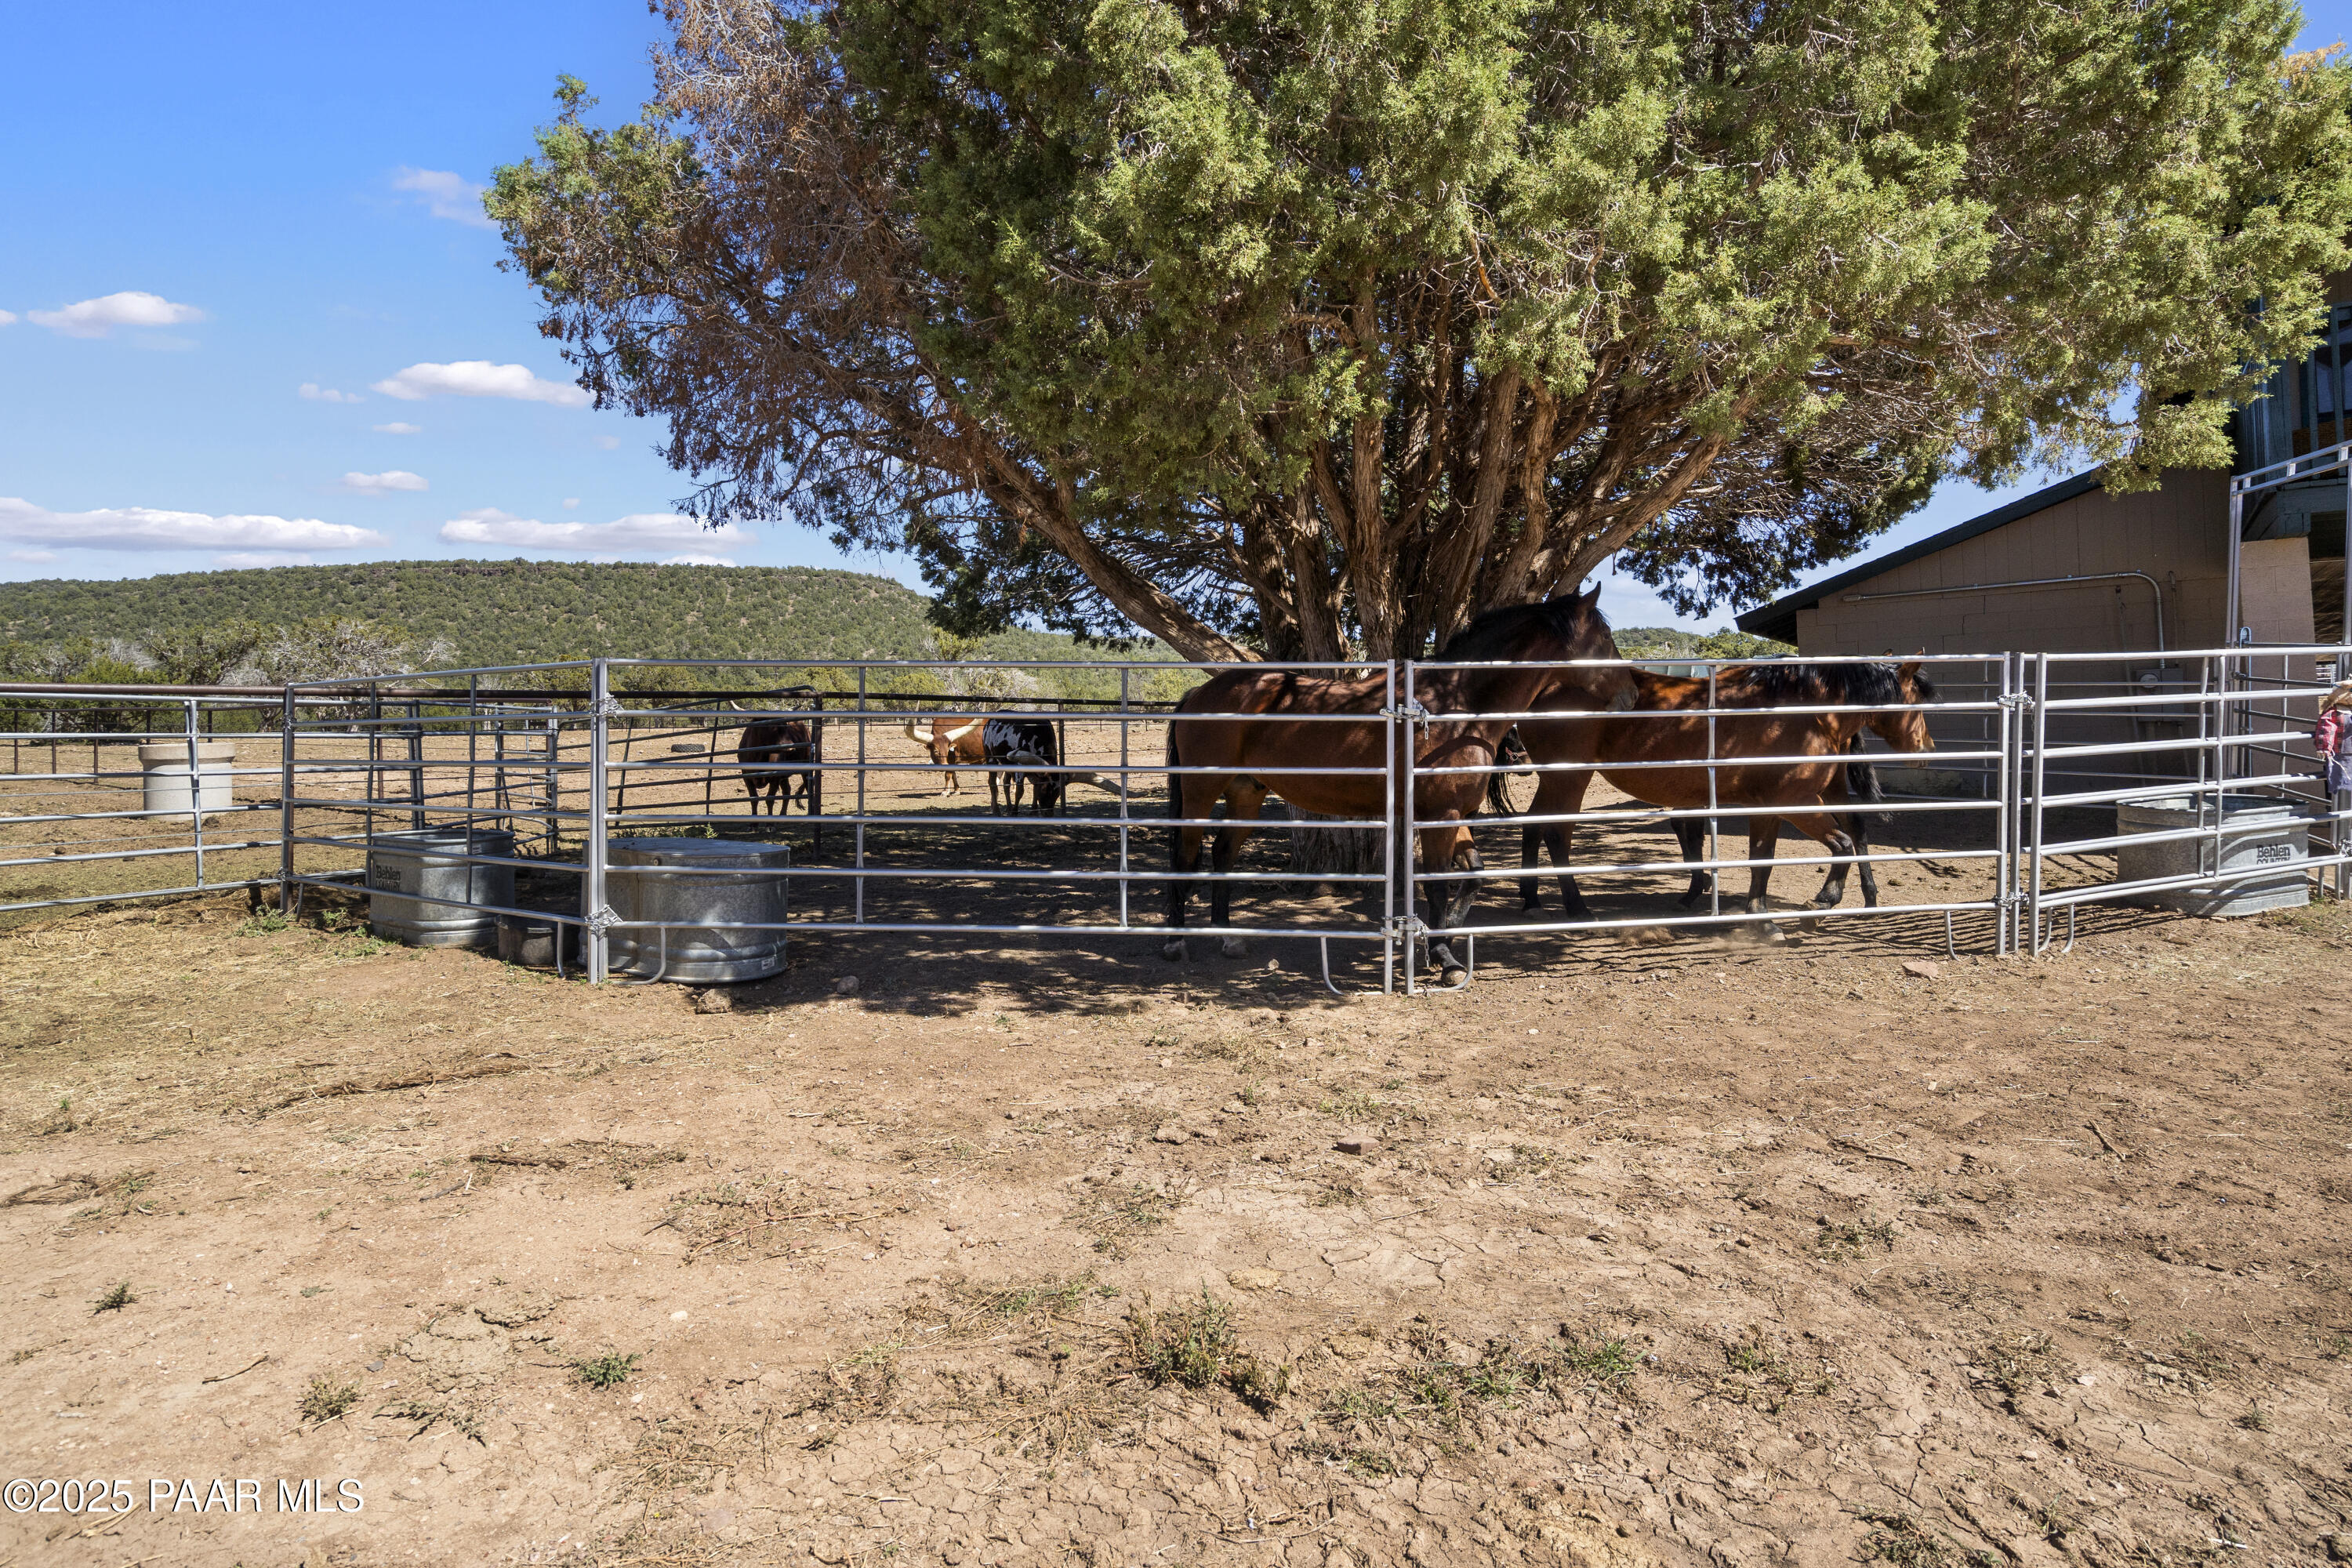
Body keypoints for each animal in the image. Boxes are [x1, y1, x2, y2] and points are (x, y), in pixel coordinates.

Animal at [1163, 587, 1637, 982]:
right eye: (1604, 636)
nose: (1631, 694)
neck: (1454, 709)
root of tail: (1199, 695)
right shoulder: (1439, 816)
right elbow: (1438, 883)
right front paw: (1445, 960)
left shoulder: (1451, 815)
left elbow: (1474, 874)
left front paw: (1441, 940)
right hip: (1200, 794)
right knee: (1186, 858)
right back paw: (1176, 942)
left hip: (1247, 793)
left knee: (1223, 854)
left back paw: (1227, 937)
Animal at [1513, 660, 1936, 921]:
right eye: (1915, 700)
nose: (1927, 749)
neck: (1801, 712)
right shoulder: (1794, 802)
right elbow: (1842, 843)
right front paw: (1825, 898)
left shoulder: (1768, 806)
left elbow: (1762, 858)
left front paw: (1757, 912)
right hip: (1569, 779)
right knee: (1556, 834)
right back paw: (1576, 908)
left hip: (1553, 780)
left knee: (1533, 826)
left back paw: (1532, 900)